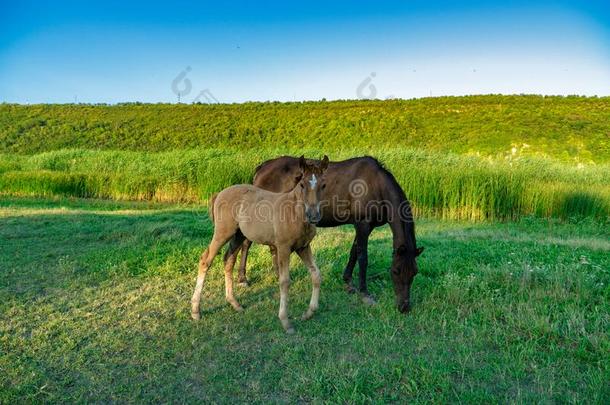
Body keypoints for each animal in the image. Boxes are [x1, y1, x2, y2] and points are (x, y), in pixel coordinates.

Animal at [190, 155, 328, 332]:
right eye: (302, 184)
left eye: (323, 185)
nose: (313, 215)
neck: (294, 212)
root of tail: (219, 193)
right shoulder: (283, 248)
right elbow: (284, 282)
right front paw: (285, 321)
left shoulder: (303, 247)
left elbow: (316, 275)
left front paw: (309, 312)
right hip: (223, 233)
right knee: (205, 260)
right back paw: (195, 310)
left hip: (238, 235)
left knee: (228, 260)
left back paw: (234, 303)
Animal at [238, 155, 422, 312]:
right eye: (396, 271)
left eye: (414, 272)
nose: (404, 307)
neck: (376, 185)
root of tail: (263, 167)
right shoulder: (363, 224)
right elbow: (363, 257)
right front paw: (364, 293)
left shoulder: (363, 227)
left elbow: (354, 252)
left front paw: (348, 282)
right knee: (246, 243)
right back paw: (242, 279)